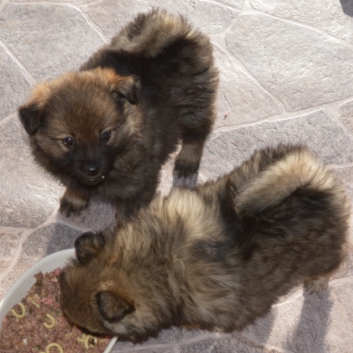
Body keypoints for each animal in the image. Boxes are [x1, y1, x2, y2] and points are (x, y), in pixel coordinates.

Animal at [19, 8, 219, 220]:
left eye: (106, 135)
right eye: (68, 141)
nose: (92, 170)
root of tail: (172, 26)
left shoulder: (138, 188)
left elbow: (127, 217)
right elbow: (78, 186)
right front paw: (75, 199)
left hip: (194, 102)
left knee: (199, 131)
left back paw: (188, 160)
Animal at [59, 144, 350, 340]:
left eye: (87, 328)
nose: (75, 329)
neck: (158, 259)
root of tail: (315, 182)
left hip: (323, 252)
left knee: (334, 261)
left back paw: (317, 281)